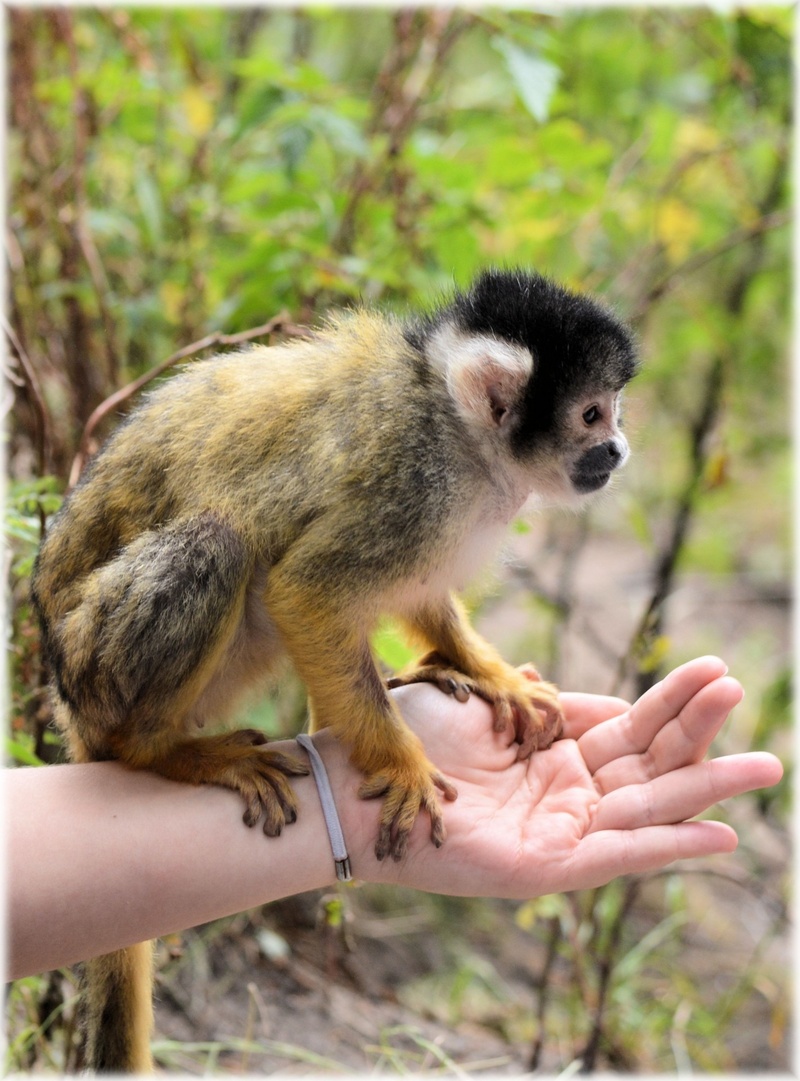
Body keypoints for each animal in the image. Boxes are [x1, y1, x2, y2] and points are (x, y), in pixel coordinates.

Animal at [30, 268, 638, 1071]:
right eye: (592, 414)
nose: (619, 448)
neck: (456, 429)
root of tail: (65, 693)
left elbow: (416, 592)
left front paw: (486, 670)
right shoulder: (413, 483)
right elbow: (307, 591)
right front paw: (402, 762)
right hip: (98, 663)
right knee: (219, 543)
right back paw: (163, 752)